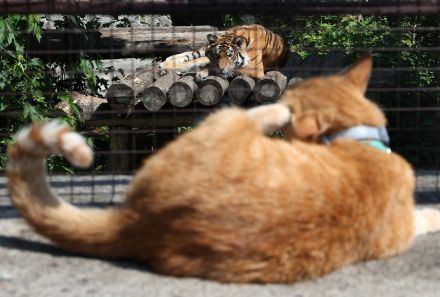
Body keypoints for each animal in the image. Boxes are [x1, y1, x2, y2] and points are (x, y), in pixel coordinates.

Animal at [160, 24, 288, 80]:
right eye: (216, 55)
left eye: (230, 55)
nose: (221, 70)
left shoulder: (254, 68)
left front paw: (201, 73)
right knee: (193, 54)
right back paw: (165, 64)